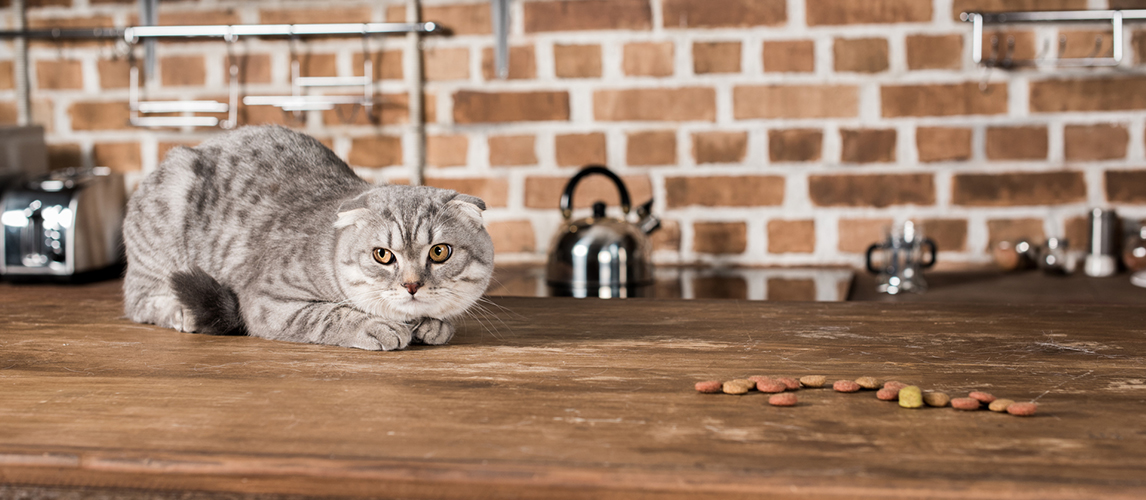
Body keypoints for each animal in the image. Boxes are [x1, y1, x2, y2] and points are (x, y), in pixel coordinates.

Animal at [123, 126, 495, 348]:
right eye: (383, 255)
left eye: (439, 252)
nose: (412, 285)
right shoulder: (268, 300)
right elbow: (328, 314)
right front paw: (377, 326)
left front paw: (435, 325)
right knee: (139, 301)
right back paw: (180, 312)